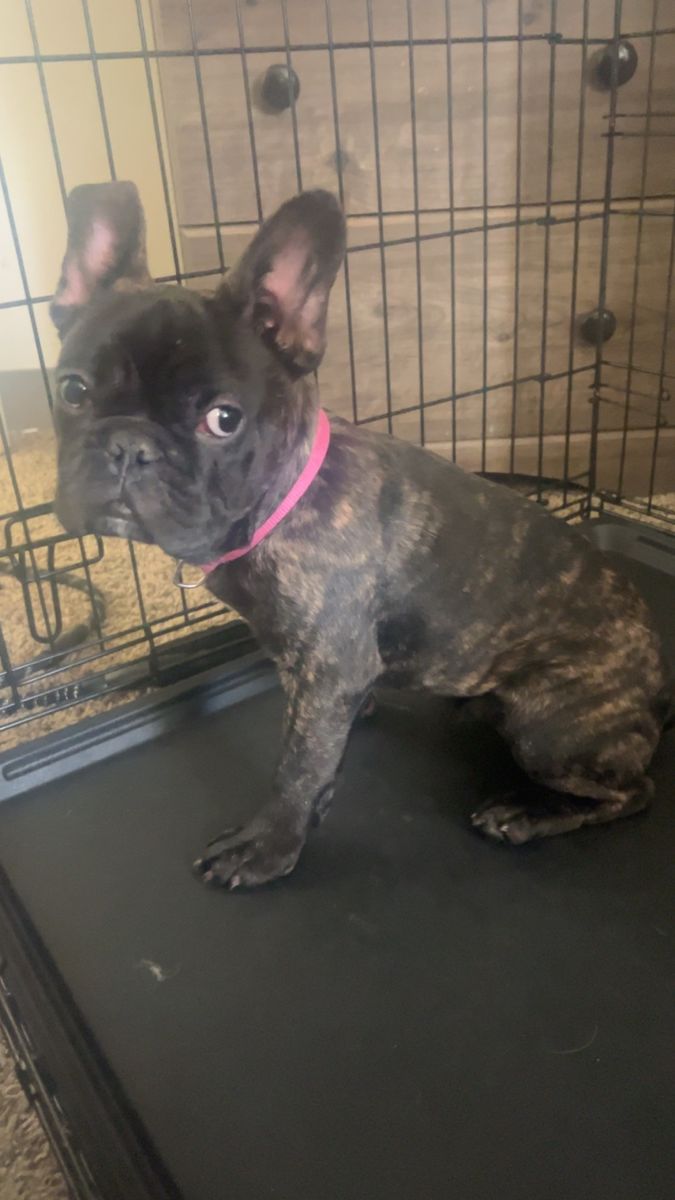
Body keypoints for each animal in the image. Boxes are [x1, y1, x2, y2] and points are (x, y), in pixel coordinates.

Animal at [50, 181, 673, 888]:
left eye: (224, 419)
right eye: (72, 390)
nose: (129, 445)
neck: (278, 503)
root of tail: (659, 692)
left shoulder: (326, 669)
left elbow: (298, 768)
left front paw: (267, 848)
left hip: (547, 727)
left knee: (631, 792)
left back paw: (525, 813)